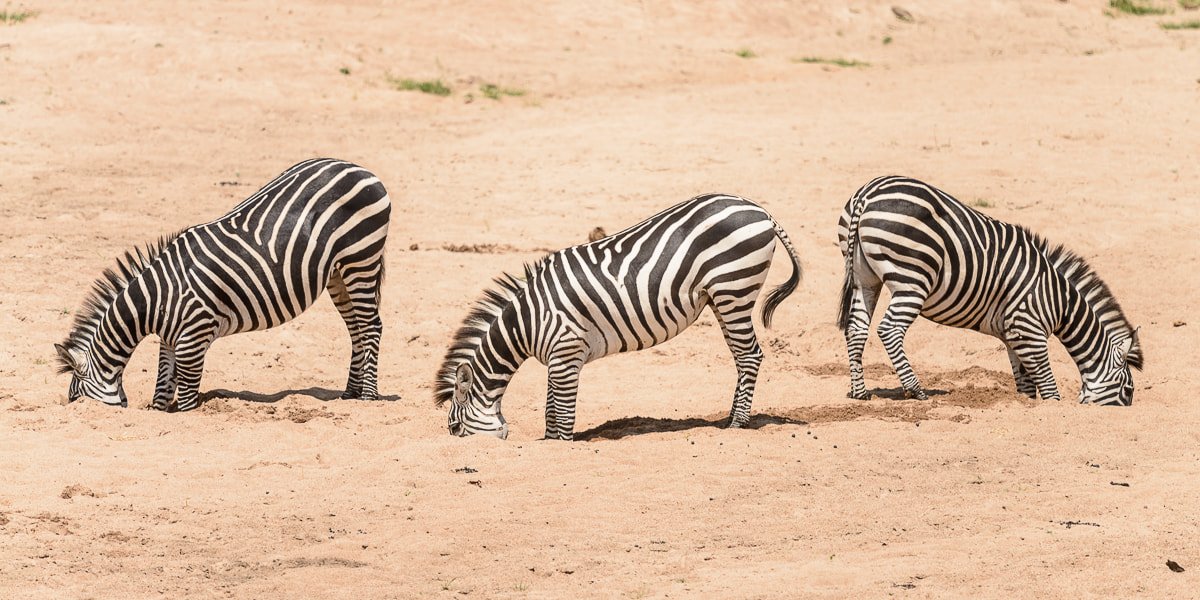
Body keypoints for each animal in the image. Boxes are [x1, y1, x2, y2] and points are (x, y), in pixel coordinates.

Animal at [55, 158, 391, 411]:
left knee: (372, 325)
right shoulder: (170, 342)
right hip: (337, 274)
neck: (156, 300)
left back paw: (368, 396)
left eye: (77, 401)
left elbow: (187, 401)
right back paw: (349, 394)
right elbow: (162, 393)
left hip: (360, 259)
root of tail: (361, 168)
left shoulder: (192, 341)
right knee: (356, 329)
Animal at [434, 193, 803, 441]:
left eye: (454, 428)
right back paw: (730, 418)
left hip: (734, 288)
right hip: (723, 297)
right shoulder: (558, 359)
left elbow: (562, 414)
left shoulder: (566, 353)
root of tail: (759, 210)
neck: (527, 322)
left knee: (750, 355)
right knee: (741, 356)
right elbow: (551, 410)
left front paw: (561, 445)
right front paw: (549, 441)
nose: (453, 437)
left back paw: (737, 424)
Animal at [836, 175, 1142, 406]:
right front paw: (1053, 406)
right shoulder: (1029, 330)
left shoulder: (1013, 336)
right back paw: (917, 390)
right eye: (1128, 390)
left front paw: (1025, 404)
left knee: (856, 328)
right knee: (889, 330)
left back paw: (860, 393)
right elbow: (1046, 383)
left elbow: (1026, 383)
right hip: (912, 278)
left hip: (864, 278)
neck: (1058, 301)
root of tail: (867, 194)